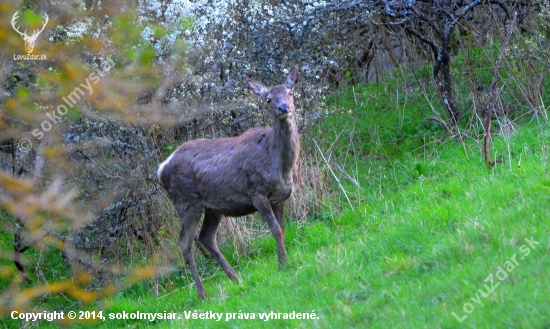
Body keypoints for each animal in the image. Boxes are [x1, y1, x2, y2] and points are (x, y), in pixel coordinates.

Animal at [157, 66, 302, 298]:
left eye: (290, 92)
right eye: (268, 99)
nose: (283, 108)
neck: (281, 165)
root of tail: (161, 168)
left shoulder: (281, 196)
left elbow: (282, 228)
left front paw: (284, 261)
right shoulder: (257, 193)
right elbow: (275, 230)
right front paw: (282, 265)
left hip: (213, 207)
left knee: (206, 238)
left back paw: (235, 278)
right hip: (186, 202)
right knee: (184, 243)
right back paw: (203, 293)